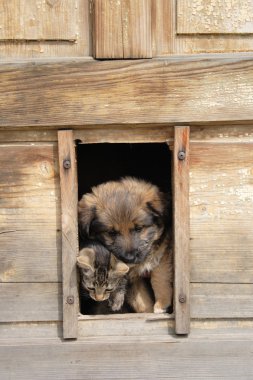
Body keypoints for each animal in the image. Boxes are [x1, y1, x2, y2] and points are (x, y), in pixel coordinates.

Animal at [78, 177, 174, 314]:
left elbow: (159, 275)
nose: (129, 258)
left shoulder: (163, 250)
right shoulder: (131, 278)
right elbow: (141, 301)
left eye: (139, 228)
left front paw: (161, 303)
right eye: (111, 233)